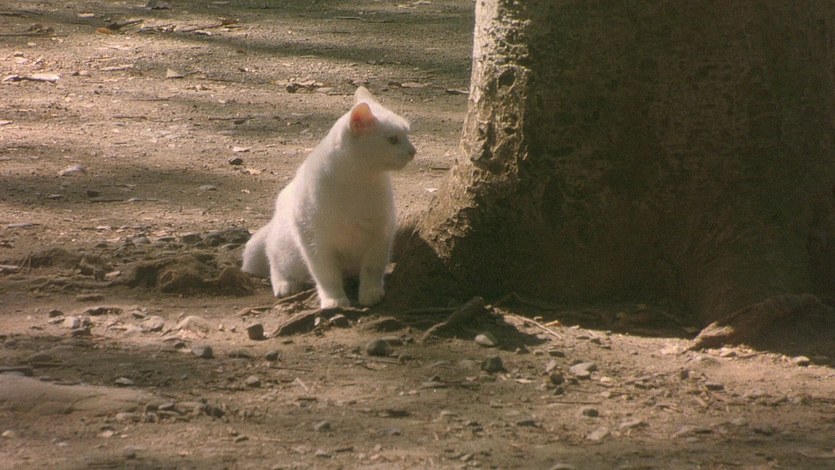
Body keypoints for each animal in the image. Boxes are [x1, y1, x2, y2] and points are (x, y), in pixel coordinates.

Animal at [241, 86, 416, 309]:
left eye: (407, 134)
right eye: (392, 139)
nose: (413, 151)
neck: (358, 181)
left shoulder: (381, 233)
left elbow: (372, 268)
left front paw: (370, 292)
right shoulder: (315, 242)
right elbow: (327, 275)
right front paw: (334, 299)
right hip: (285, 248)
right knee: (275, 261)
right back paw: (284, 283)